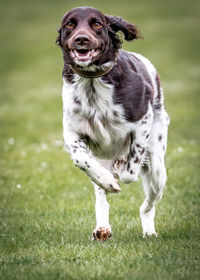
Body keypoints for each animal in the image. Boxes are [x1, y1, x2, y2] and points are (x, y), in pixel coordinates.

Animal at [55, 6, 169, 242]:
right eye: (70, 24)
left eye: (97, 24)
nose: (81, 39)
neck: (92, 82)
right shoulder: (72, 131)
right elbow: (81, 161)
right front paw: (108, 180)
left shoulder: (142, 120)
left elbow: (129, 173)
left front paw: (121, 167)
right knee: (100, 194)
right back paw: (102, 228)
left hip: (157, 166)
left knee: (148, 203)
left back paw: (149, 229)